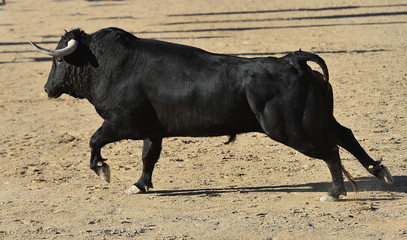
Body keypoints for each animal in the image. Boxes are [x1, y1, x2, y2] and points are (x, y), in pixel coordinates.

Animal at [30, 27, 394, 202]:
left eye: (59, 60)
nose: (47, 89)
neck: (106, 65)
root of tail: (292, 60)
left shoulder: (122, 123)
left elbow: (94, 141)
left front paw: (104, 172)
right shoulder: (153, 130)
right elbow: (149, 157)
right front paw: (140, 185)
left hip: (294, 130)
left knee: (331, 150)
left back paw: (334, 193)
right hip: (315, 121)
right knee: (344, 135)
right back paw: (378, 171)